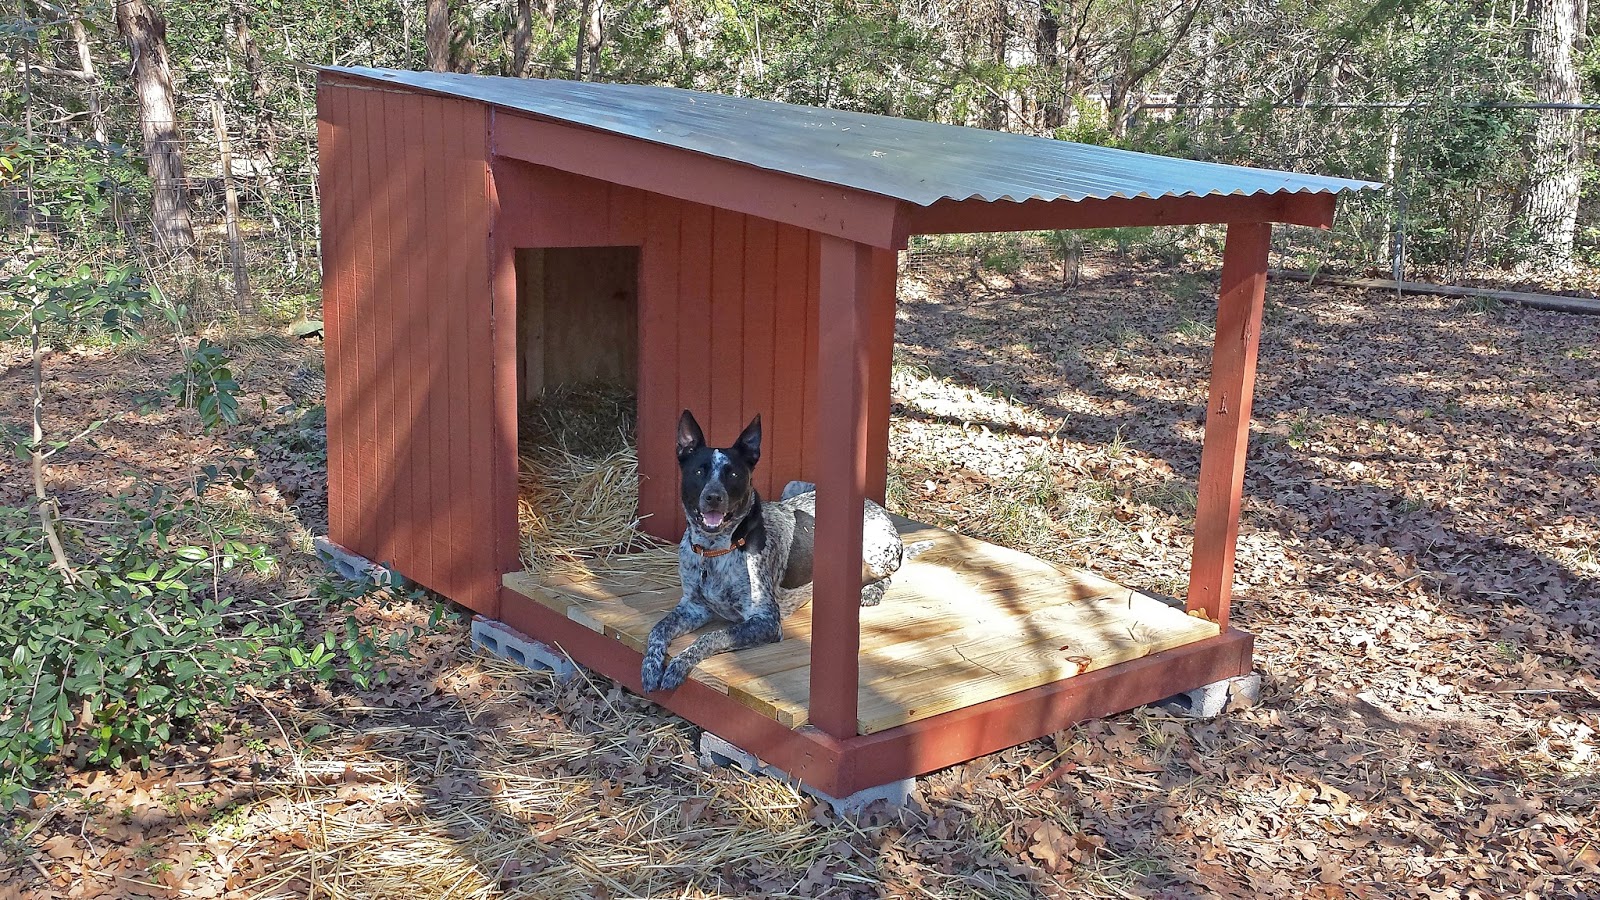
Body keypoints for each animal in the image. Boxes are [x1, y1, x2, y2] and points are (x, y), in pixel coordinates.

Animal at [636, 409, 928, 688]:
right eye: (699, 471)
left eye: (733, 474)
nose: (713, 497)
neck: (714, 551)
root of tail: (872, 502)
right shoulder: (693, 607)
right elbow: (657, 629)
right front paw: (651, 667)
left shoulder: (764, 621)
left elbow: (710, 637)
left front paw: (678, 665)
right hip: (793, 486)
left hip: (876, 554)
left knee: (891, 573)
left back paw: (870, 591)